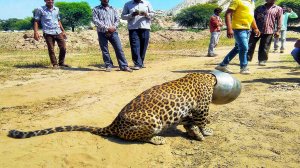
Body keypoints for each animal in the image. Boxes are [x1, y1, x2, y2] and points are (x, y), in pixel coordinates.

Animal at [8, 73, 217, 145]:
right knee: (137, 137)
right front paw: (205, 131)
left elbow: (190, 123)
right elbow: (202, 121)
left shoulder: (189, 111)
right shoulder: (202, 107)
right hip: (152, 122)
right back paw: (156, 139)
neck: (208, 77)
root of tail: (114, 123)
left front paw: (196, 133)